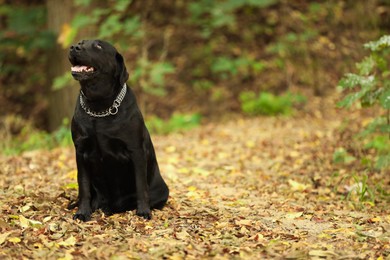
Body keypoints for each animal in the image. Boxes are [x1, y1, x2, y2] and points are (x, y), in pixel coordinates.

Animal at [66, 39, 169, 221]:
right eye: (80, 42)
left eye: (98, 46)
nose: (74, 47)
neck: (99, 106)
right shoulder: (81, 151)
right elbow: (83, 186)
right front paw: (82, 212)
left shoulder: (136, 151)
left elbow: (141, 185)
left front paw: (143, 211)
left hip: (162, 190)